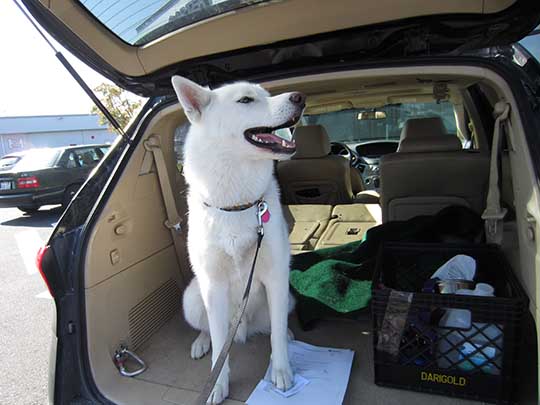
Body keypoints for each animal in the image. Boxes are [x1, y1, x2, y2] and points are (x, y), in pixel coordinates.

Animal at [173, 76, 306, 404]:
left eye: (266, 94)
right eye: (246, 100)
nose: (300, 97)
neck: (237, 204)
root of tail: (244, 328)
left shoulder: (276, 277)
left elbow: (276, 335)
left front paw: (281, 370)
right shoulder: (213, 286)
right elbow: (220, 344)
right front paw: (217, 384)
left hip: (285, 297)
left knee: (276, 326)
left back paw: (288, 336)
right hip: (192, 299)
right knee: (210, 330)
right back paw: (201, 342)